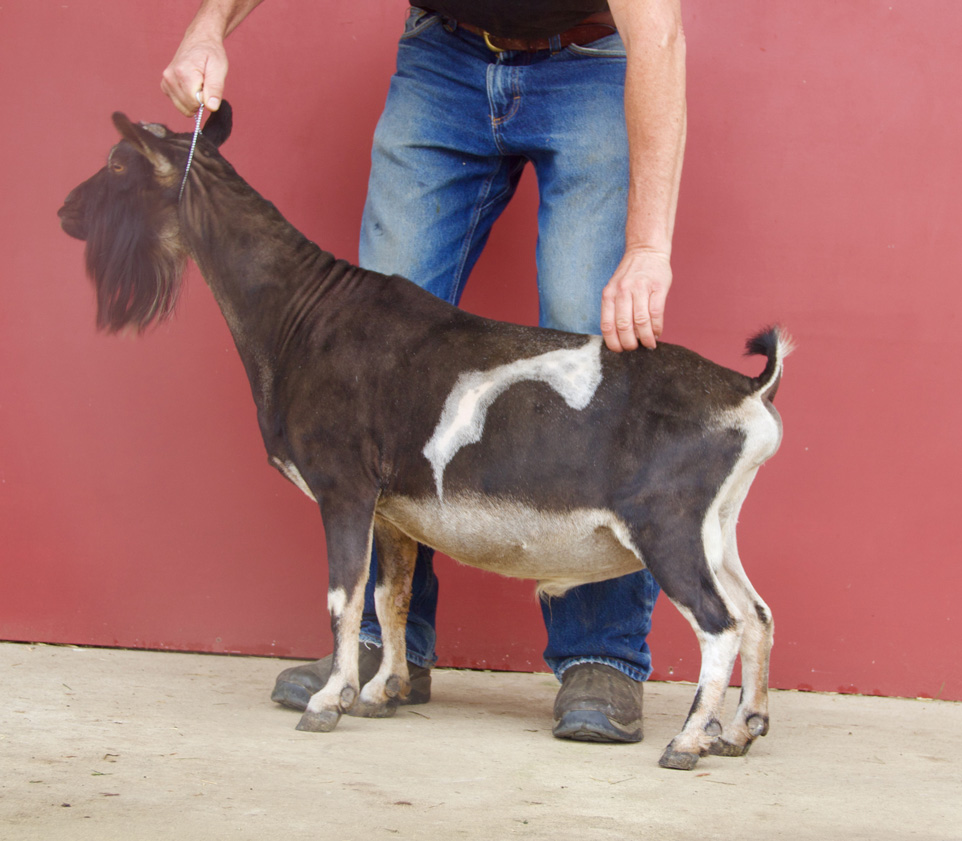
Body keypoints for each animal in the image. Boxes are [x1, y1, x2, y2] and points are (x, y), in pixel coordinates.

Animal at [62, 103, 796, 768]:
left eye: (118, 163)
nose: (66, 210)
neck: (303, 314)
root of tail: (748, 390)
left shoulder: (345, 487)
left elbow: (343, 596)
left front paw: (327, 701)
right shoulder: (393, 507)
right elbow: (391, 596)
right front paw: (379, 691)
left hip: (667, 525)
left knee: (721, 624)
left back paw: (688, 741)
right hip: (715, 525)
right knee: (757, 613)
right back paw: (740, 731)